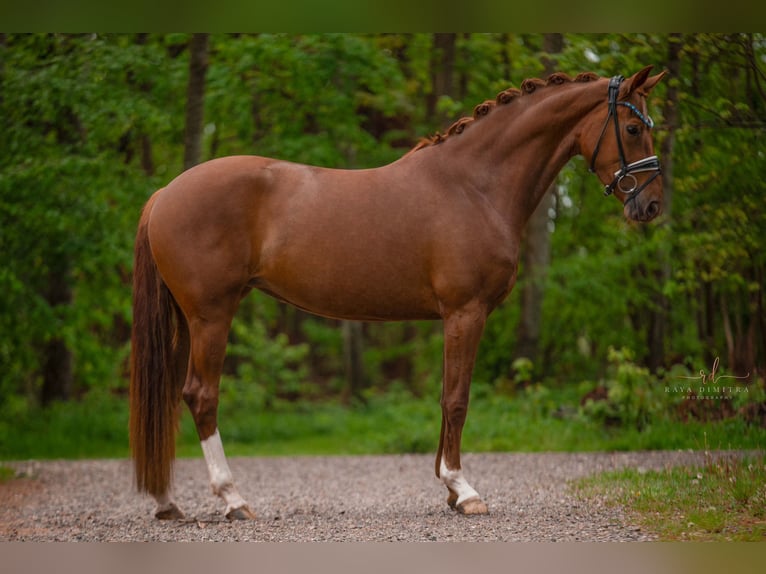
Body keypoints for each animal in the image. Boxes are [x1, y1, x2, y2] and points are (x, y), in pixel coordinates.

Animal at [130, 67, 664, 520]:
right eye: (632, 129)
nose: (652, 205)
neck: (474, 186)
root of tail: (165, 193)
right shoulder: (466, 312)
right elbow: (458, 398)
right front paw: (464, 490)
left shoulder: (455, 317)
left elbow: (446, 396)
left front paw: (449, 488)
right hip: (211, 316)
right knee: (201, 396)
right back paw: (233, 500)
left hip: (187, 321)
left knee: (172, 397)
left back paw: (167, 501)